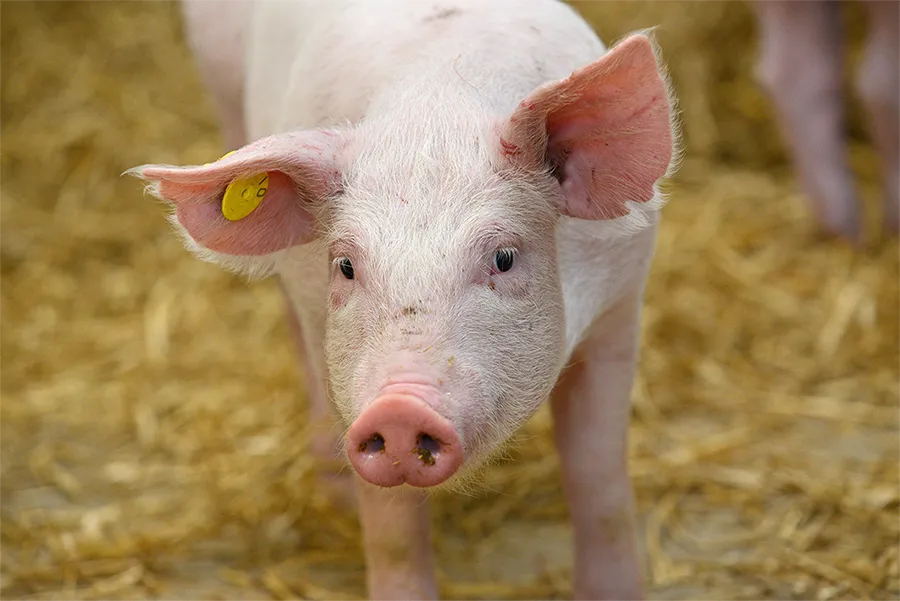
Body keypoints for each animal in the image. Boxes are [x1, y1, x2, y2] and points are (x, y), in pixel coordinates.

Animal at [130, 0, 679, 599]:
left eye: (504, 257)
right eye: (345, 265)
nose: (398, 407)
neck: (436, 104)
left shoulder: (622, 300)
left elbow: (596, 476)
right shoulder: (347, 371)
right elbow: (392, 528)